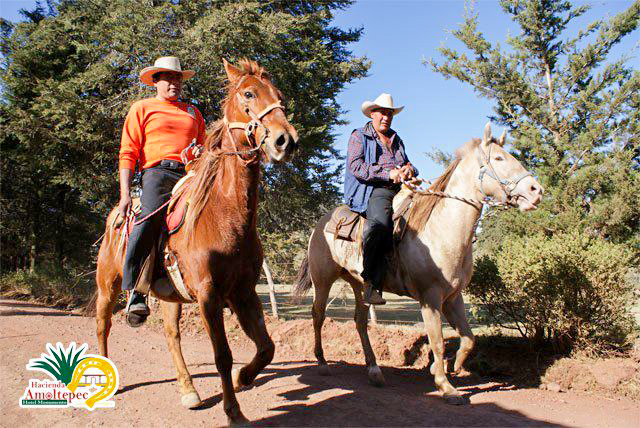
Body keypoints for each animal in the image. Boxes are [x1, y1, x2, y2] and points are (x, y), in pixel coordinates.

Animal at [94, 59, 298, 424]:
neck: (225, 214)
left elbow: (267, 347)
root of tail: (115, 214)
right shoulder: (208, 295)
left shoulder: (244, 293)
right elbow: (222, 355)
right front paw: (234, 411)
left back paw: (188, 389)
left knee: (171, 336)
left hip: (170, 296)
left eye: (279, 95)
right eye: (248, 93)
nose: (285, 140)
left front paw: (243, 378)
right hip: (109, 285)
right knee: (103, 325)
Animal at [294, 123, 540, 404]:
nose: (536, 190)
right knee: (318, 315)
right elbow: (438, 341)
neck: (441, 228)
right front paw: (445, 385)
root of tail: (321, 223)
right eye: (499, 158)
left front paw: (451, 366)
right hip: (322, 281)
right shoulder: (430, 298)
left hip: (359, 284)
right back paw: (323, 362)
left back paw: (374, 369)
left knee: (359, 321)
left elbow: (468, 338)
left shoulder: (453, 297)